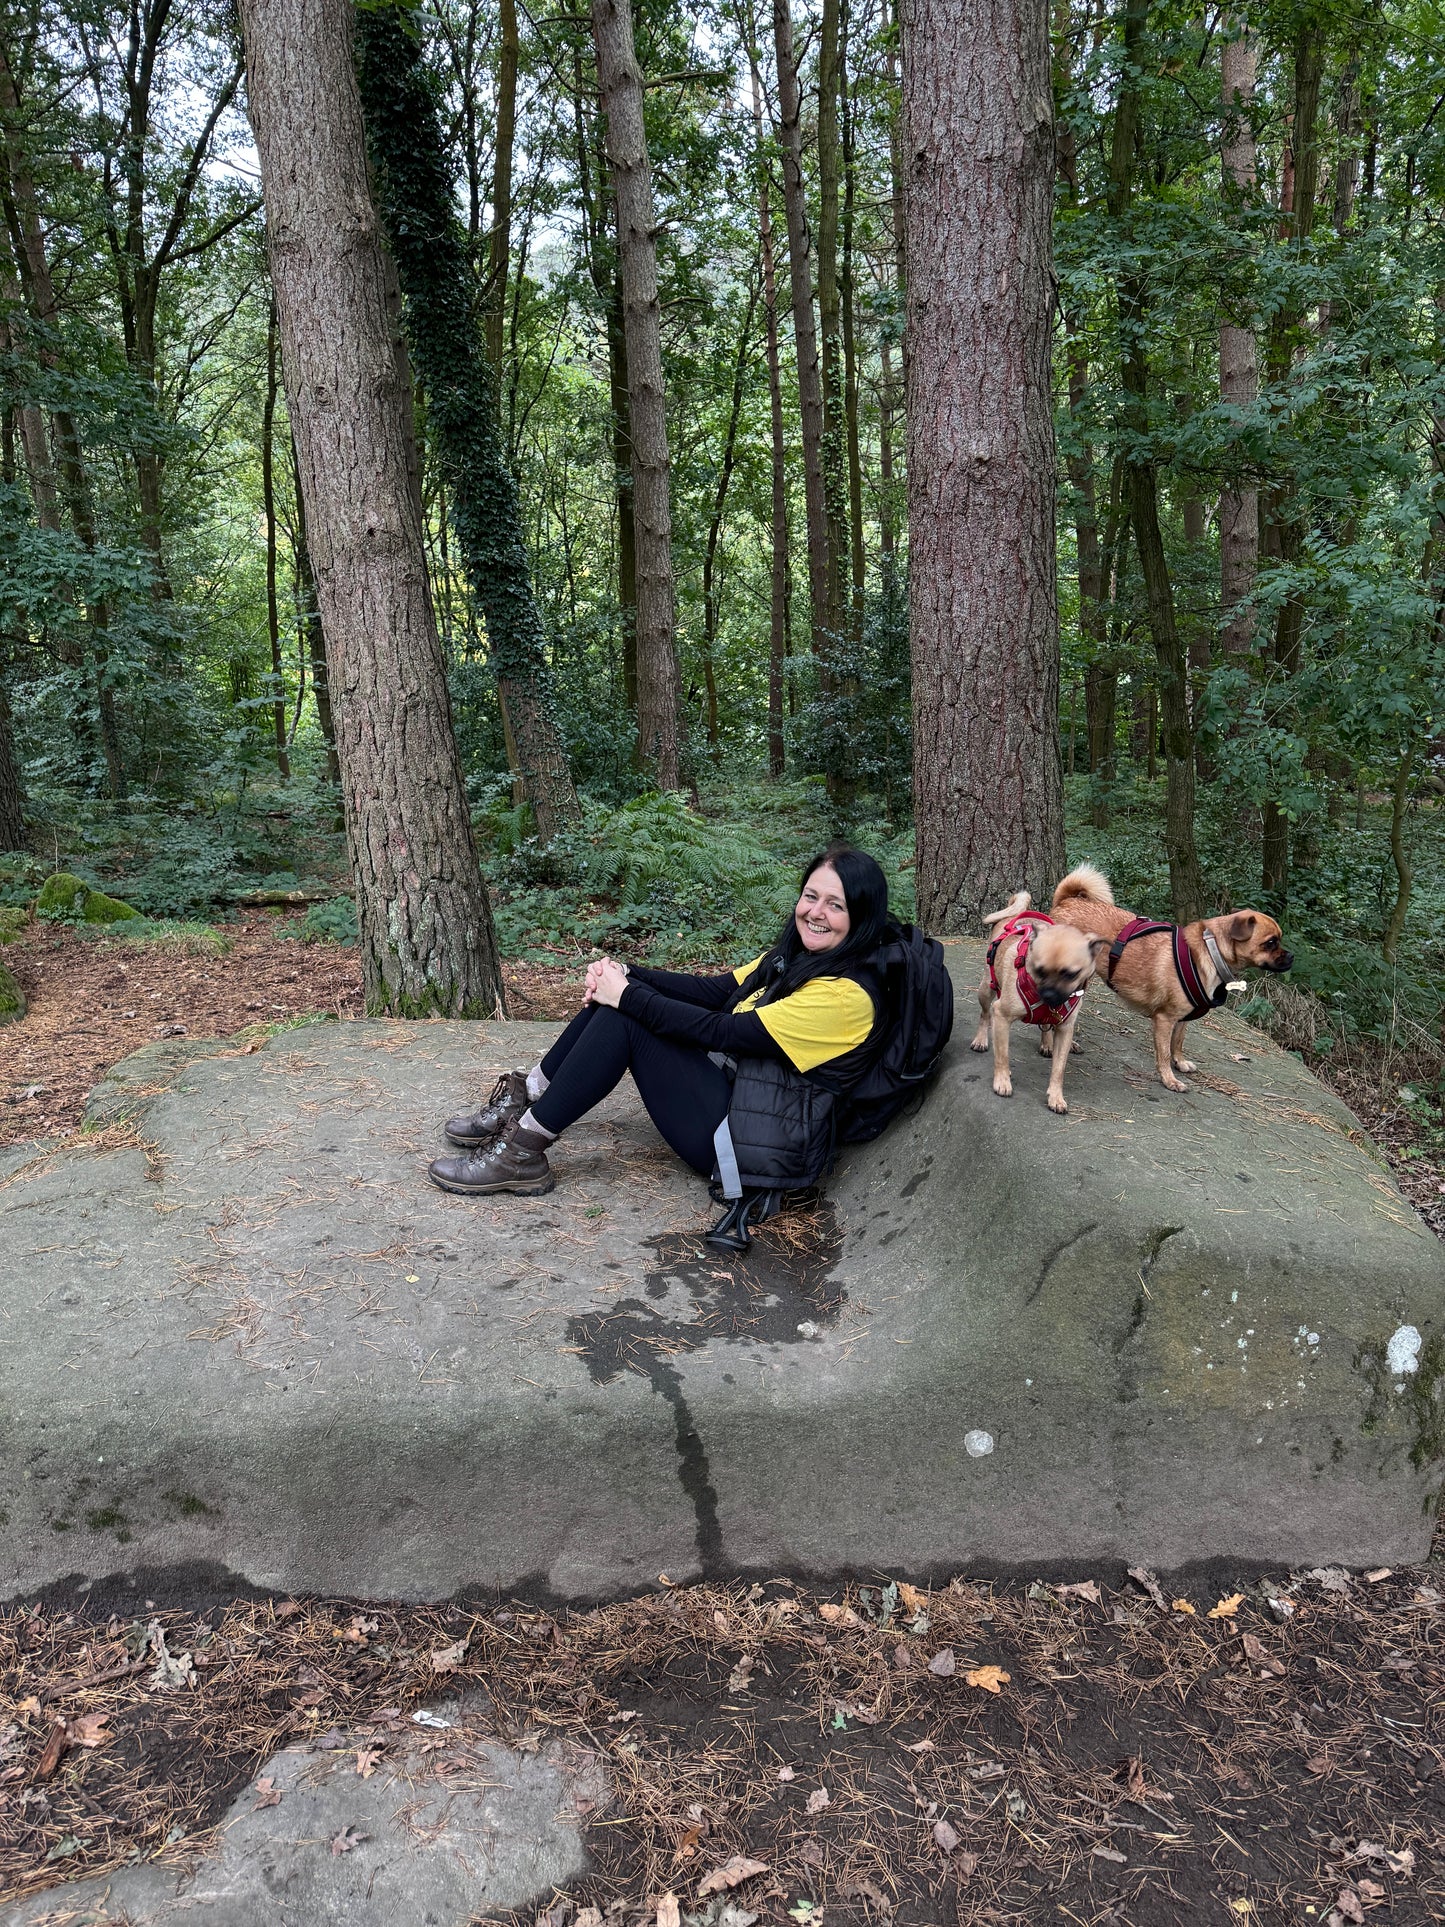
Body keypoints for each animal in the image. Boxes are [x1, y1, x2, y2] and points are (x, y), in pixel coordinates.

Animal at [974, 890, 1109, 1117]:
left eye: (1071, 974)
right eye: (1038, 970)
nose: (1048, 993)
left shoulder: (1064, 1029)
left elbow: (1058, 1069)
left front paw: (1056, 1096)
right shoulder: (1001, 1015)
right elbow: (1003, 1055)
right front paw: (1002, 1080)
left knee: (1045, 1025)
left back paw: (1046, 1043)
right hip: (986, 990)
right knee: (984, 1016)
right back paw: (980, 1039)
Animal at [1048, 867, 1294, 1094]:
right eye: (1271, 943)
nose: (1291, 956)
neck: (1210, 950)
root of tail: (1067, 902)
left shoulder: (1182, 1018)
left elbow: (1178, 1042)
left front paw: (1180, 1062)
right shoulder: (1164, 1020)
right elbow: (1164, 1053)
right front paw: (1169, 1079)